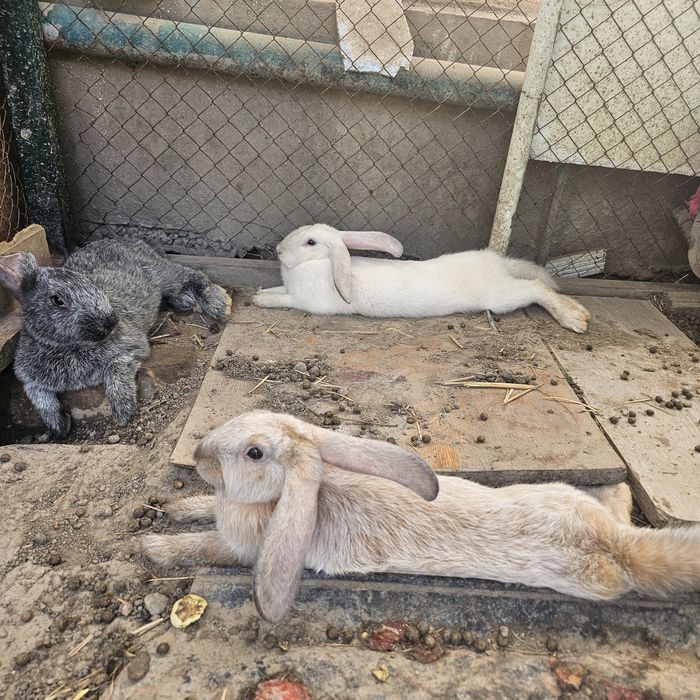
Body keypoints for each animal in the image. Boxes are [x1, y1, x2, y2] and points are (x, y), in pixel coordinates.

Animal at [0, 238, 232, 436]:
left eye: (90, 283)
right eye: (57, 300)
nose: (111, 322)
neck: (66, 345)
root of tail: (132, 241)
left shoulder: (130, 348)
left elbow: (117, 370)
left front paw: (123, 412)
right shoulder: (28, 377)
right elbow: (36, 393)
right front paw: (59, 425)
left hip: (158, 271)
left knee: (191, 275)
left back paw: (220, 304)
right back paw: (185, 301)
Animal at [142, 411, 700, 624]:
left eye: (254, 453)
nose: (199, 454)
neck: (278, 500)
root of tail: (615, 548)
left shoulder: (244, 549)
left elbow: (203, 544)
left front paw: (150, 547)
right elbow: (200, 512)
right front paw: (173, 507)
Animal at [252, 224, 590, 333]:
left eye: (310, 242)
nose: (278, 250)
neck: (323, 264)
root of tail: (497, 263)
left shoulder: (302, 300)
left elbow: (282, 300)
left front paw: (259, 300)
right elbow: (275, 288)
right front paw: (259, 291)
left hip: (502, 297)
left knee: (537, 288)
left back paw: (575, 318)